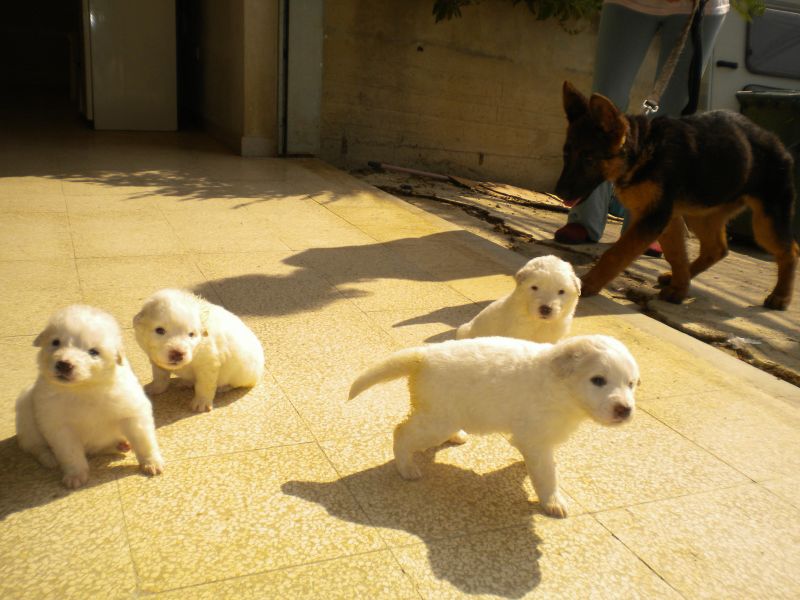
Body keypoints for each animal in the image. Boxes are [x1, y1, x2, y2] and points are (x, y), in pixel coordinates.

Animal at [16, 304, 164, 488]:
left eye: (93, 352)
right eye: (56, 342)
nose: (63, 364)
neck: (84, 388)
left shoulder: (132, 413)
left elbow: (144, 441)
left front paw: (151, 463)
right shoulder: (59, 428)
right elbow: (71, 454)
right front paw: (75, 476)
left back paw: (122, 444)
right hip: (26, 415)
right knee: (35, 447)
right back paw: (50, 458)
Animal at [134, 288, 264, 412]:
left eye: (191, 334)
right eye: (160, 330)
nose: (177, 354)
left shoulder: (208, 365)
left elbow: (204, 386)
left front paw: (201, 403)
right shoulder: (156, 362)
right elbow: (160, 377)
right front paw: (154, 388)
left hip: (243, 375)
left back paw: (223, 387)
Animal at [350, 336, 636, 516]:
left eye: (631, 384)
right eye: (598, 380)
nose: (625, 410)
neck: (560, 386)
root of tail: (424, 355)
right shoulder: (535, 437)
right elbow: (545, 474)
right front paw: (553, 502)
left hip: (444, 414)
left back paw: (456, 436)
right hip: (435, 421)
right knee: (402, 433)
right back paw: (406, 467)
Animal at [552, 81, 796, 310]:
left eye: (589, 159)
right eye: (566, 154)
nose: (559, 193)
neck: (642, 151)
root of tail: (778, 143)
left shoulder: (655, 218)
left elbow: (615, 254)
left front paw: (587, 284)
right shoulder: (667, 218)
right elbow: (676, 254)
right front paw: (679, 288)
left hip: (764, 224)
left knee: (790, 250)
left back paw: (781, 296)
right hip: (700, 213)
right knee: (716, 249)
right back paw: (680, 277)